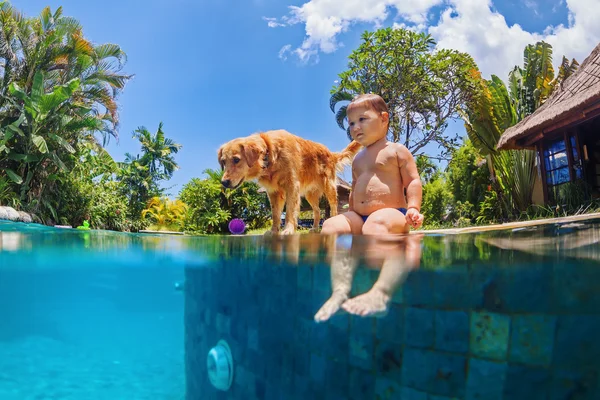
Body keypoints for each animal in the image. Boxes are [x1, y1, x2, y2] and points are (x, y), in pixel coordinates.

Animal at [219, 128, 360, 234]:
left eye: (236, 159)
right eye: (223, 161)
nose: (224, 182)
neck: (270, 156)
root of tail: (330, 153)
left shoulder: (292, 186)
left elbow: (290, 211)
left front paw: (288, 230)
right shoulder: (273, 192)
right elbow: (276, 214)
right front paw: (274, 231)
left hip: (329, 187)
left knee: (334, 206)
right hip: (310, 195)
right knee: (317, 211)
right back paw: (314, 228)